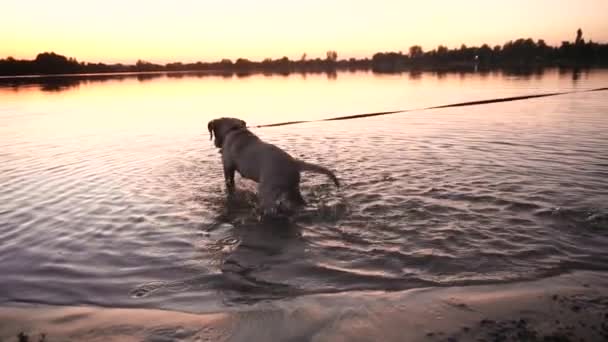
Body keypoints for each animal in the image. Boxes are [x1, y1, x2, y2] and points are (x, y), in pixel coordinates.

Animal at [208, 116, 340, 215]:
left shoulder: (227, 167)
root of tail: (294, 163)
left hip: (267, 191)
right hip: (293, 190)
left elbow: (229, 183)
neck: (234, 129)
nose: (215, 143)